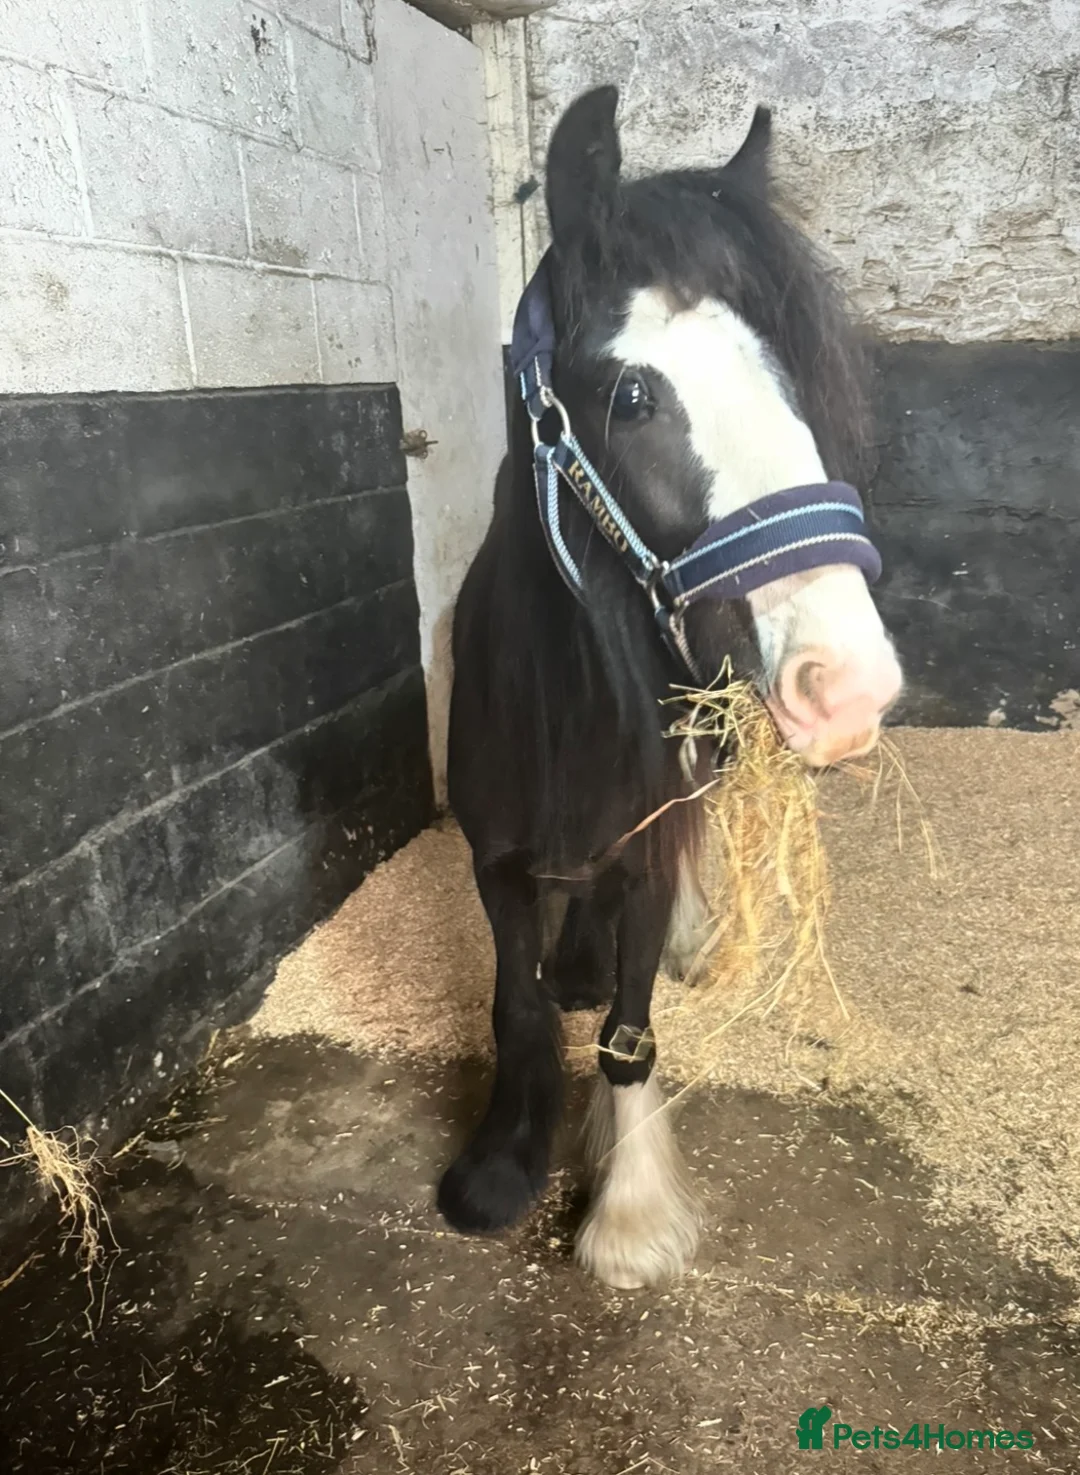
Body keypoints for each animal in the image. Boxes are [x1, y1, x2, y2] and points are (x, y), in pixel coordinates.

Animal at [437, 85, 903, 1289]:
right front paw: (499, 1167)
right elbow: (517, 1005)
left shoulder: (646, 847)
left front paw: (630, 1216)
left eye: (793, 379)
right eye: (633, 393)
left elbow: (628, 1028)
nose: (851, 683)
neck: (560, 710)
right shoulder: (494, 860)